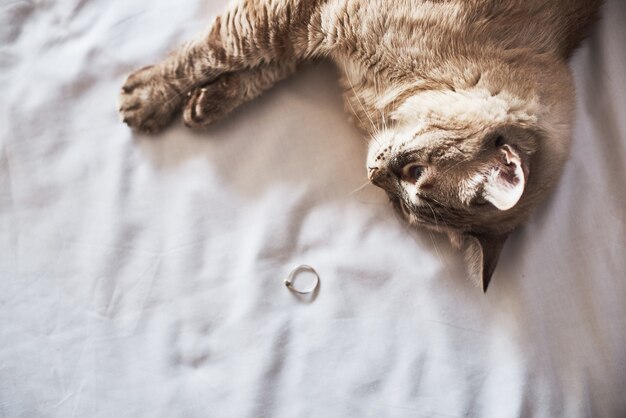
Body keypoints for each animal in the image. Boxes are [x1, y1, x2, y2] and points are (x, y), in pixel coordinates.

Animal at [117, 0, 600, 292]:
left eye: (400, 206)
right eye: (414, 173)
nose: (373, 175)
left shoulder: (307, 30)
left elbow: (262, 64)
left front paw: (207, 101)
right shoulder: (301, 18)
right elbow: (214, 51)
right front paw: (151, 95)